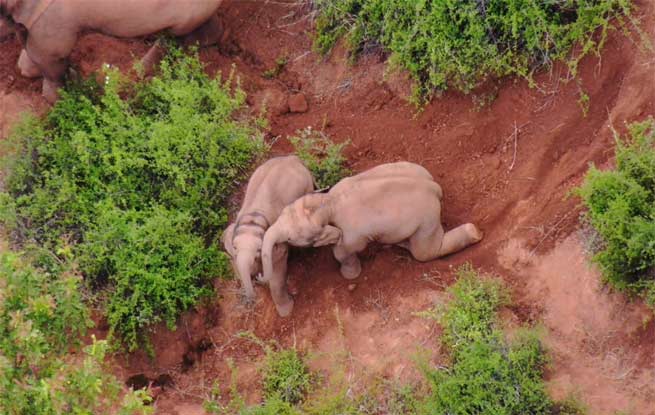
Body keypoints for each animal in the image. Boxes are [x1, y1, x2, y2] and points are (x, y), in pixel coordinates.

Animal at [222, 155, 314, 309]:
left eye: (259, 249)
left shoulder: (276, 244)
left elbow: (277, 270)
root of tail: (292, 158)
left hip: (307, 188)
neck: (253, 217)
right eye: (234, 247)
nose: (259, 277)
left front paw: (287, 310)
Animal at [261, 162, 483, 316]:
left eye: (291, 237)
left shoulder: (351, 234)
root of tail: (434, 186)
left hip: (427, 219)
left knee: (425, 253)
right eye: (282, 213)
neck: (328, 201)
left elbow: (343, 250)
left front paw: (350, 275)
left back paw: (474, 233)